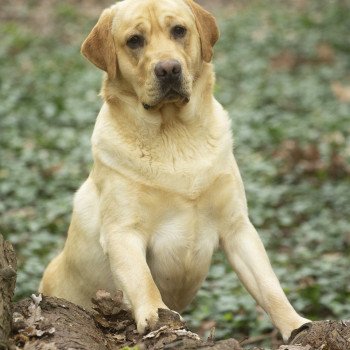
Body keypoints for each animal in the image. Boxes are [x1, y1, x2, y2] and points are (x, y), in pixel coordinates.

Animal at [40, 0, 308, 340]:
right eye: (134, 41)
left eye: (179, 31)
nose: (168, 69)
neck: (174, 135)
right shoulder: (122, 233)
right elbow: (143, 281)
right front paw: (157, 318)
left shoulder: (237, 227)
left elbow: (269, 285)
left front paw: (297, 325)